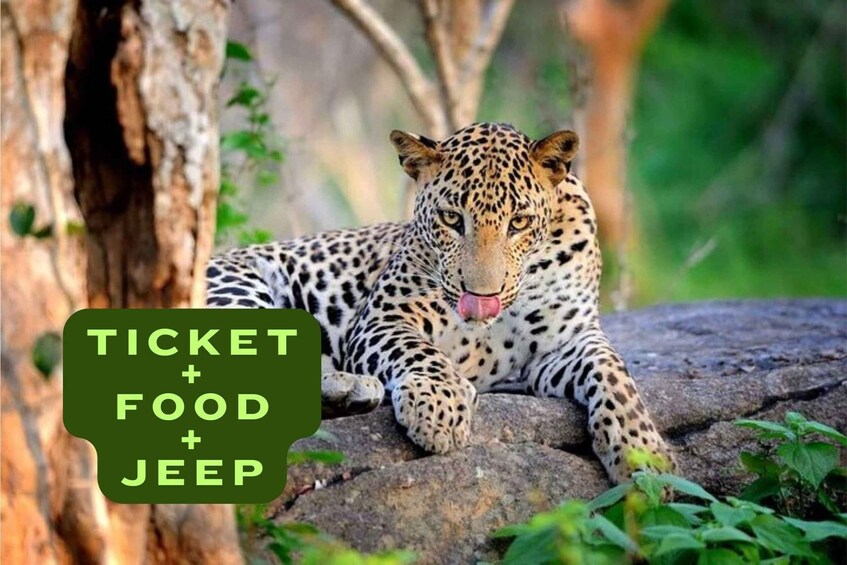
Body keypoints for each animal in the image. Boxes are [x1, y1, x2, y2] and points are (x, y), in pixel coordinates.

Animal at [206, 122, 674, 483]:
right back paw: (348, 387)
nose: (482, 297)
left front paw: (644, 454)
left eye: (519, 223)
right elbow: (420, 351)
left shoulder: (566, 342)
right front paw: (439, 406)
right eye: (452, 219)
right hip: (238, 290)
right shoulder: (384, 318)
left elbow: (614, 371)